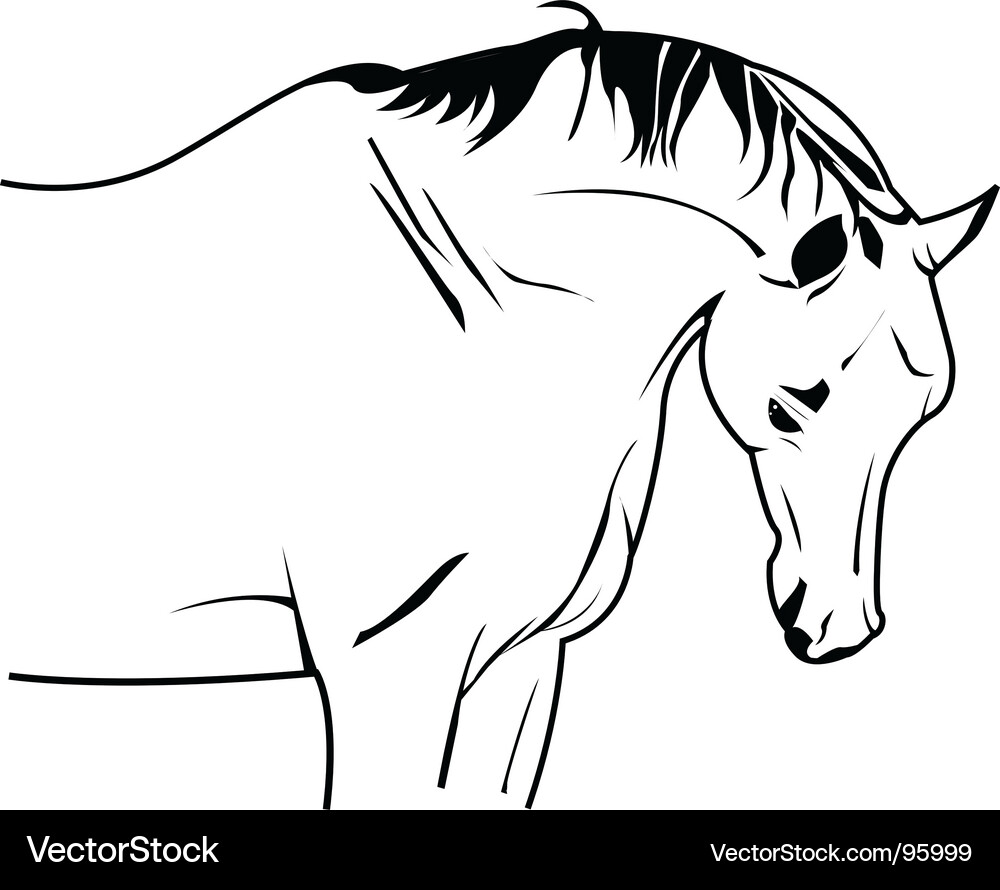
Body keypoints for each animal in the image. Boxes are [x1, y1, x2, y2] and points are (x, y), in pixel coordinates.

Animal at [1, 2, 994, 808]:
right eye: (794, 406)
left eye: (923, 417)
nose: (838, 626)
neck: (480, 318)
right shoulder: (389, 671)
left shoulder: (520, 666)